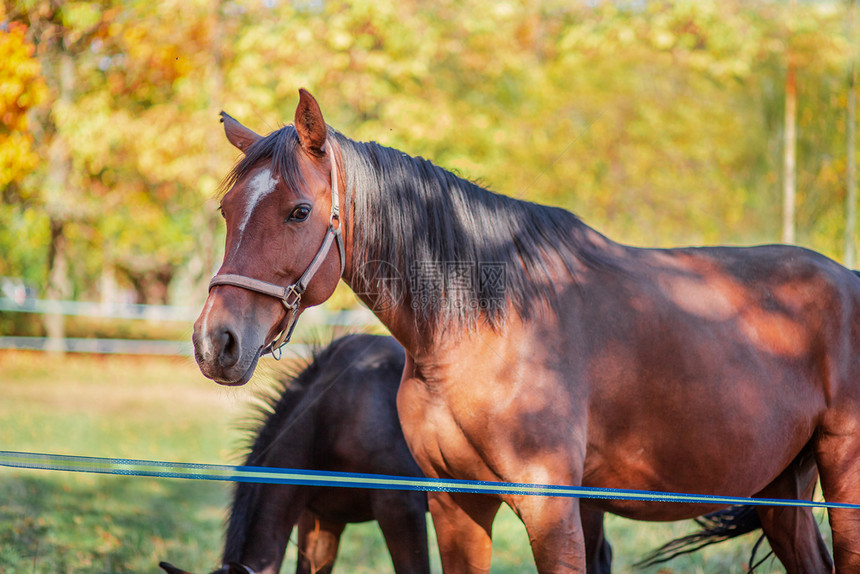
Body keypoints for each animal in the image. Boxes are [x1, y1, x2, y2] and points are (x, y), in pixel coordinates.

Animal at [193, 88, 860, 572]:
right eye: (226, 211)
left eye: (299, 211)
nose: (214, 341)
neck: (482, 326)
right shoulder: (454, 506)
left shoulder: (550, 510)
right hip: (783, 495)